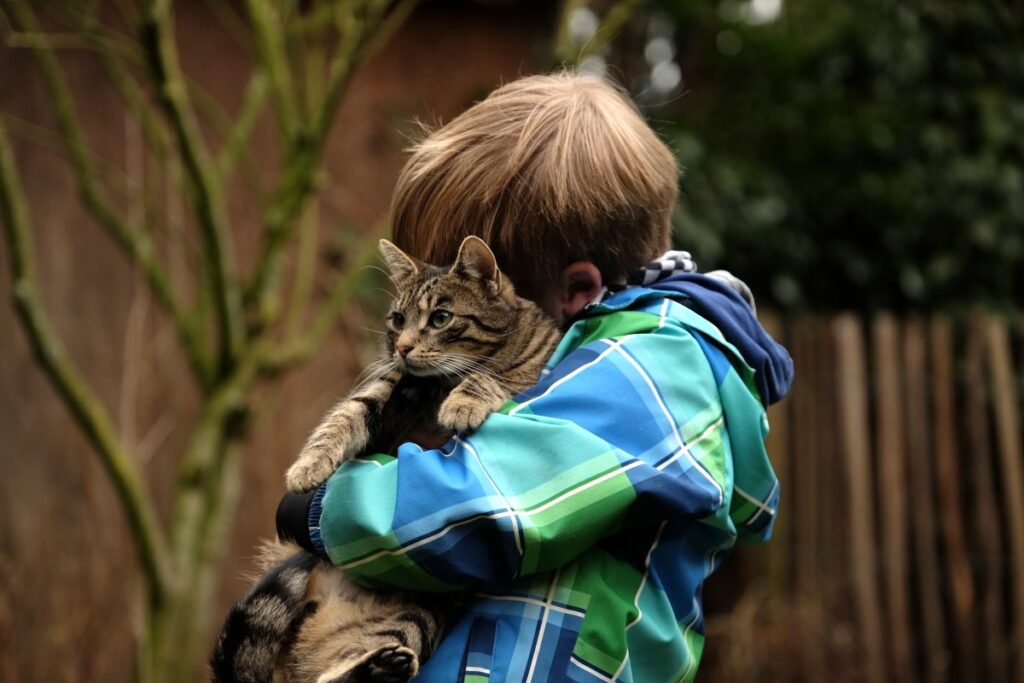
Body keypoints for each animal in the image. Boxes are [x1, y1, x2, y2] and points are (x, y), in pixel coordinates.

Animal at [209, 237, 561, 679]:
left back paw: (380, 666)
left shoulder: (526, 372)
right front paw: (307, 466)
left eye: (440, 318)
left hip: (417, 616)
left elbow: (491, 375)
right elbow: (343, 418)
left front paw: (463, 402)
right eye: (397, 319)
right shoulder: (385, 387)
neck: (436, 386)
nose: (402, 346)